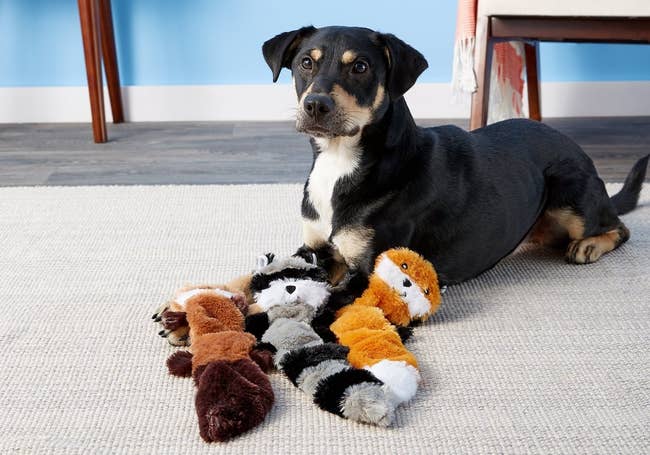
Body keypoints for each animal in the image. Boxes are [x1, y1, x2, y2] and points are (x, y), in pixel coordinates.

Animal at [262, 26, 649, 292]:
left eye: (359, 66)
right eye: (305, 63)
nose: (315, 105)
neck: (343, 160)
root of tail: (576, 148)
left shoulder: (373, 269)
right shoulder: (313, 248)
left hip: (569, 196)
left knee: (620, 228)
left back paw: (589, 245)